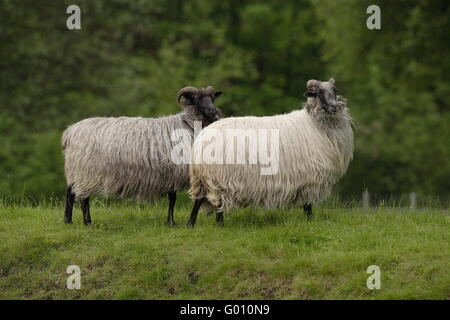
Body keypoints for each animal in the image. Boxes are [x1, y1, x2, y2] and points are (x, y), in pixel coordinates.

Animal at [62, 85, 224, 225]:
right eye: (197, 99)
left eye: (212, 98)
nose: (214, 111)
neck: (188, 125)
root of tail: (70, 131)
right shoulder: (173, 172)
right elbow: (173, 199)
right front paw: (172, 223)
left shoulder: (171, 173)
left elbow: (172, 199)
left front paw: (170, 222)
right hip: (85, 171)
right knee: (82, 197)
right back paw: (86, 222)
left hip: (77, 170)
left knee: (71, 191)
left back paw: (69, 220)